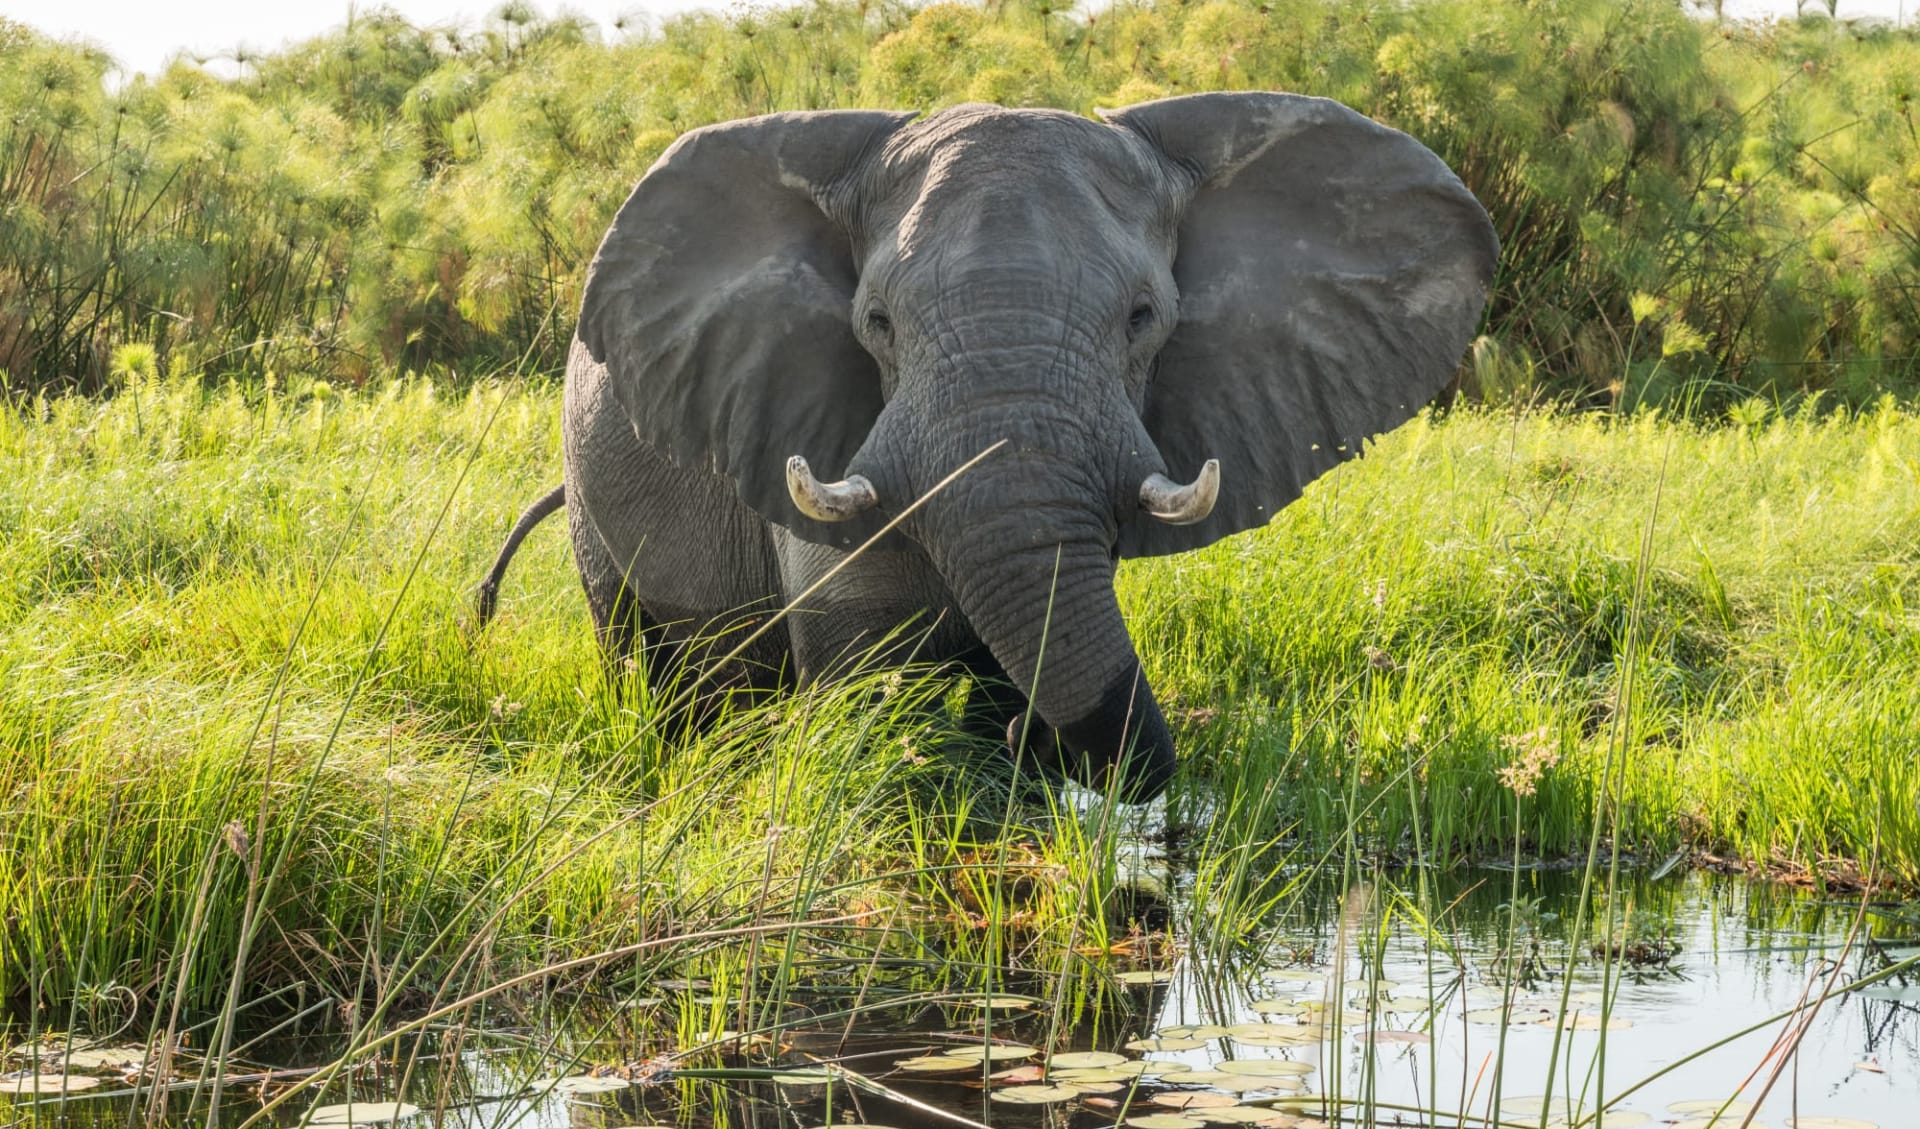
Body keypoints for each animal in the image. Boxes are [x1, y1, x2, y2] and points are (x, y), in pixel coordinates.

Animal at [475, 92, 1499, 804]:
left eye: (1144, 318)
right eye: (877, 324)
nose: (1037, 745)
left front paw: (1002, 759)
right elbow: (867, 675)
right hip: (592, 491)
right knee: (647, 662)